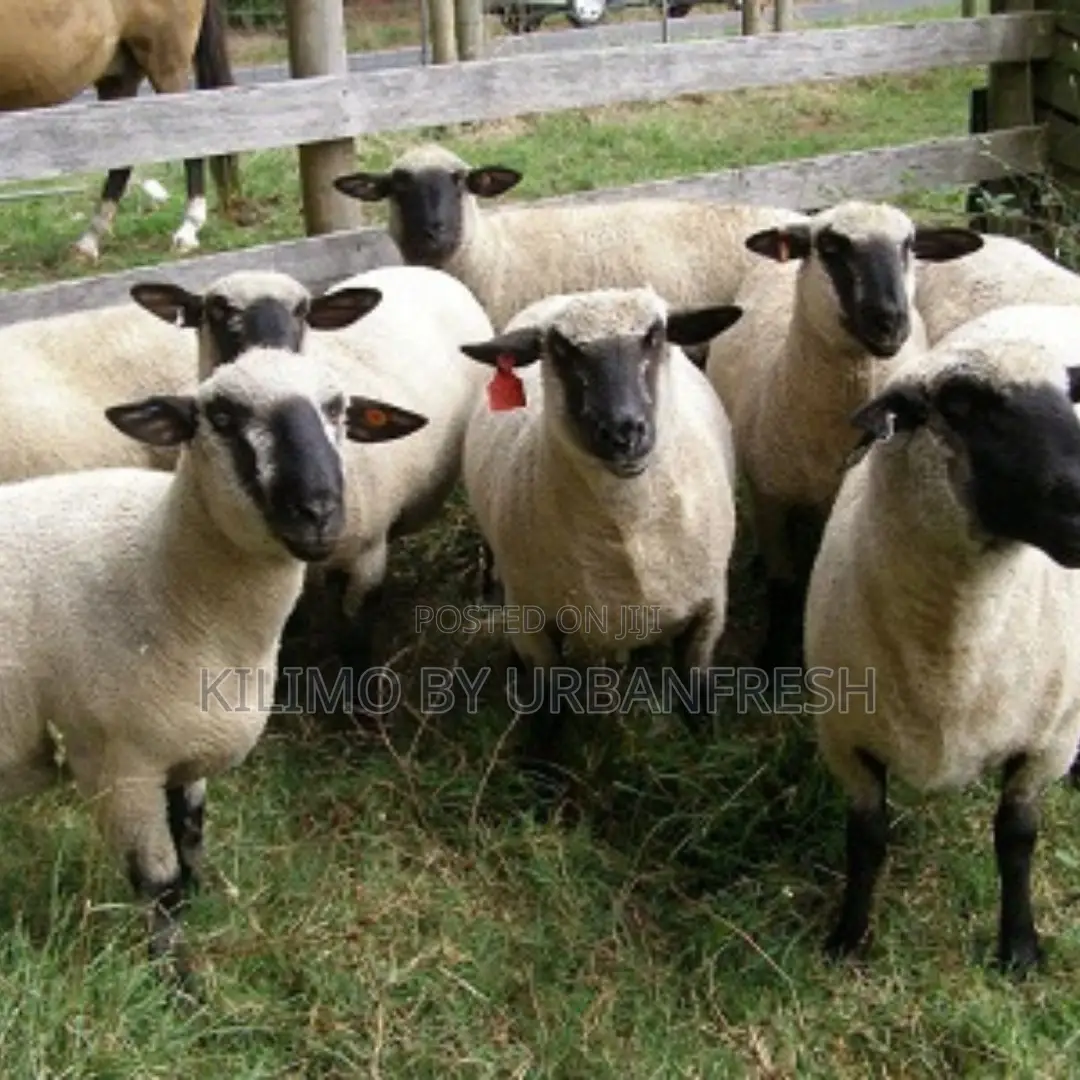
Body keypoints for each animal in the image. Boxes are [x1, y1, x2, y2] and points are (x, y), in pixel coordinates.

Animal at [0, 344, 428, 988]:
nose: (320, 511)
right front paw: (178, 984)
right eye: (223, 417)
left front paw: (201, 913)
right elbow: (159, 882)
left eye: (338, 410)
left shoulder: (186, 745)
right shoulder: (118, 765)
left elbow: (191, 843)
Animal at [458, 285, 744, 773]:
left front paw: (707, 757)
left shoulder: (709, 609)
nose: (623, 431)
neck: (624, 529)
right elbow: (549, 709)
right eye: (560, 350)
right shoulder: (534, 622)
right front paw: (539, 777)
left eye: (655, 335)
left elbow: (696, 695)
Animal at [703, 200, 983, 673]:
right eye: (831, 246)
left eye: (908, 246)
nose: (890, 321)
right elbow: (782, 584)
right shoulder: (769, 495)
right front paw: (774, 656)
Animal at [804, 302, 1080, 974]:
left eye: (1073, 397)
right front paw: (848, 938)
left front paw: (1019, 948)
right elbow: (866, 839)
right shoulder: (846, 739)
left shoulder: (1047, 741)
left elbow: (1016, 837)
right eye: (959, 404)